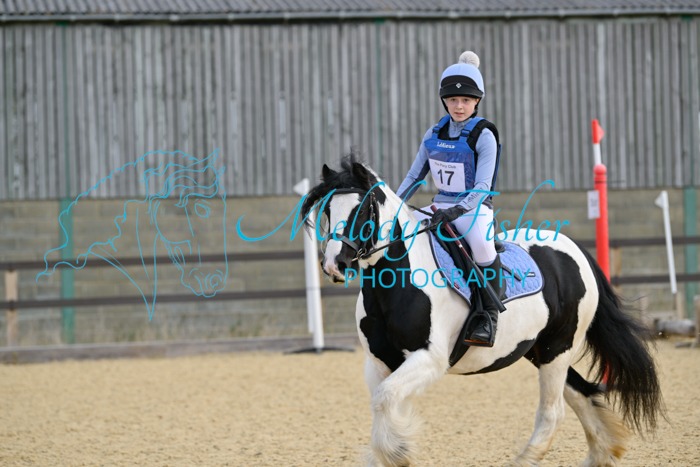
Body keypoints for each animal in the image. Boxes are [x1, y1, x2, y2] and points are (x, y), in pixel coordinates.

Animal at [300, 155, 663, 467]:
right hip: (538, 350)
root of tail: (574, 250)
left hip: (558, 349)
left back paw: (526, 460)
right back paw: (602, 453)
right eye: (327, 209)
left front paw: (398, 452)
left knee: (554, 410)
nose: (334, 264)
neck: (394, 286)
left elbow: (385, 399)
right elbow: (383, 404)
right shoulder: (378, 363)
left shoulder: (429, 359)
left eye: (363, 208)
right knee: (581, 393)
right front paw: (394, 451)